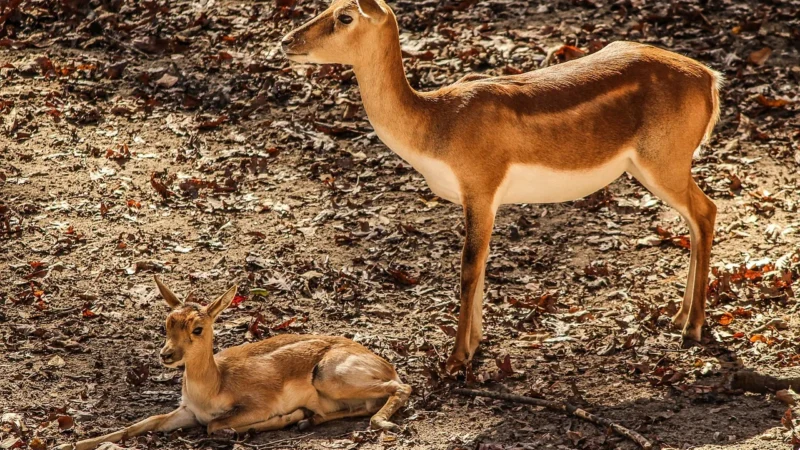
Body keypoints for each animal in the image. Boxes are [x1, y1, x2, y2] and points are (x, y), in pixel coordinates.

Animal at [56, 276, 411, 450]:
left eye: (197, 328)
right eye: (167, 322)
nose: (166, 355)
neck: (214, 387)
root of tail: (383, 362)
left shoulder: (254, 405)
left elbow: (215, 426)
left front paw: (284, 417)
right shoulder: (187, 411)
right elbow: (140, 424)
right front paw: (71, 444)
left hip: (330, 376)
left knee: (402, 388)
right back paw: (308, 420)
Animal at [282, 0, 722, 373]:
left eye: (345, 16)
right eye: (327, 5)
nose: (287, 42)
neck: (437, 124)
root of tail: (710, 79)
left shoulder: (480, 189)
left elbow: (467, 268)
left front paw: (456, 360)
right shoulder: (485, 201)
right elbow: (482, 265)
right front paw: (475, 346)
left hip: (663, 164)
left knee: (706, 211)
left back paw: (693, 327)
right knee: (697, 219)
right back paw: (679, 317)